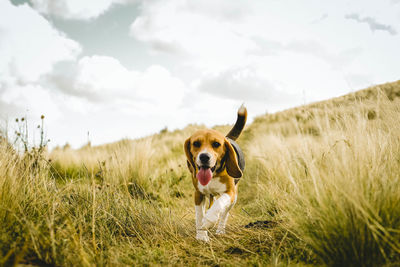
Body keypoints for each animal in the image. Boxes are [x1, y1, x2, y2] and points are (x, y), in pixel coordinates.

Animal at [184, 105, 247, 243]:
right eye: (196, 143)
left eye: (216, 144)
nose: (204, 157)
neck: (213, 175)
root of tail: (227, 138)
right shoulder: (198, 194)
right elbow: (199, 215)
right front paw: (201, 235)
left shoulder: (230, 193)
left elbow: (219, 205)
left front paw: (208, 221)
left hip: (234, 199)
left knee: (224, 214)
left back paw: (220, 230)